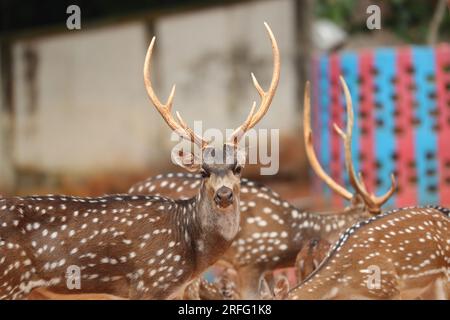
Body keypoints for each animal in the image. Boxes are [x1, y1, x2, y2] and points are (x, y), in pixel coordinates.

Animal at [0, 23, 282, 300]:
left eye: (238, 167)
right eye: (203, 171)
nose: (224, 195)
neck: (191, 248)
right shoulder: (151, 281)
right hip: (10, 280)